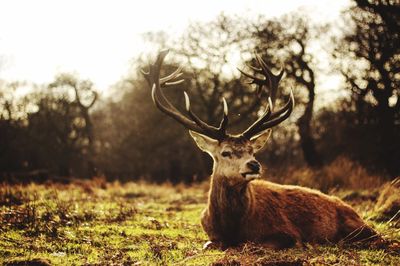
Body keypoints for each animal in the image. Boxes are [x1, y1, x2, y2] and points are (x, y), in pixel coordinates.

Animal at [142, 50, 380, 249]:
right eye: (225, 152)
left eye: (252, 151)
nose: (254, 164)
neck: (233, 228)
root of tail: (352, 209)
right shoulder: (210, 234)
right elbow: (208, 245)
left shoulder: (287, 233)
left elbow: (260, 244)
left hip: (359, 227)